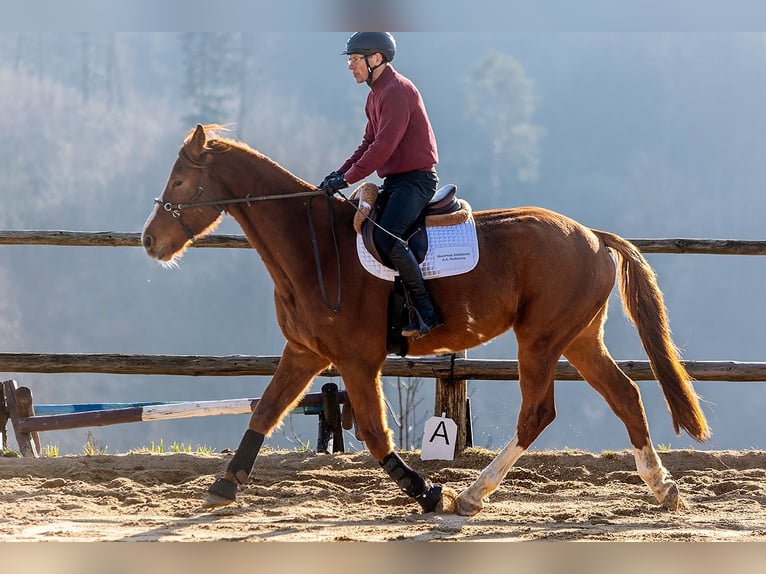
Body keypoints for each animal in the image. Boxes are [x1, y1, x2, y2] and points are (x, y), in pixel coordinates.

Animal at [142, 124, 710, 516]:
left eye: (180, 179)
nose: (149, 240)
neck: (314, 246)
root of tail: (591, 235)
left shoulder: (357, 360)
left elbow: (375, 435)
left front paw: (429, 493)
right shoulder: (304, 353)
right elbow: (264, 411)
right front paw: (224, 484)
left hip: (542, 340)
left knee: (538, 413)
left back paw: (472, 495)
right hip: (579, 339)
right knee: (625, 396)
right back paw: (662, 487)